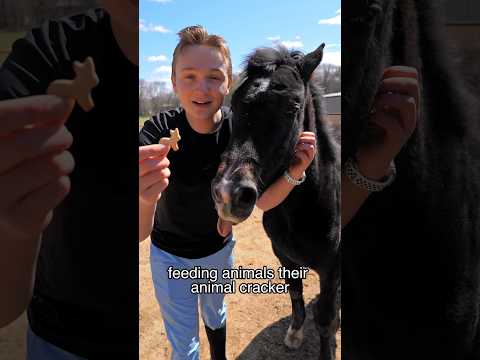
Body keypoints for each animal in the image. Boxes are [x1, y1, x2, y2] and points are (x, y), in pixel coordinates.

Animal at [213, 44, 342, 358]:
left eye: (293, 107)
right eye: (234, 106)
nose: (228, 193)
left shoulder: (331, 270)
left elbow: (326, 320)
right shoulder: (284, 256)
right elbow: (295, 293)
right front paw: (295, 333)